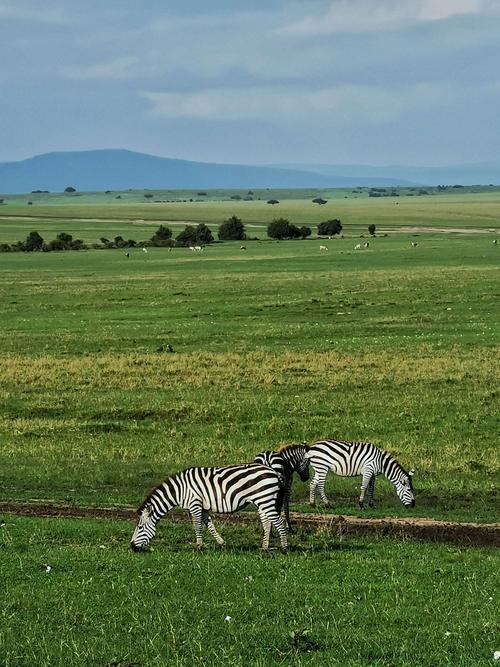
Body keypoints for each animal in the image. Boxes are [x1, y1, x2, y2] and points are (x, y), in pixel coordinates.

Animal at [130, 464, 290, 552]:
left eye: (140, 527)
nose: (131, 547)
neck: (180, 490)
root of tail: (273, 472)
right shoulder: (203, 507)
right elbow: (210, 525)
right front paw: (221, 543)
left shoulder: (194, 504)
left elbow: (197, 526)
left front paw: (199, 547)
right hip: (262, 501)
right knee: (267, 523)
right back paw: (264, 548)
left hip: (266, 500)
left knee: (278, 522)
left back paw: (284, 548)